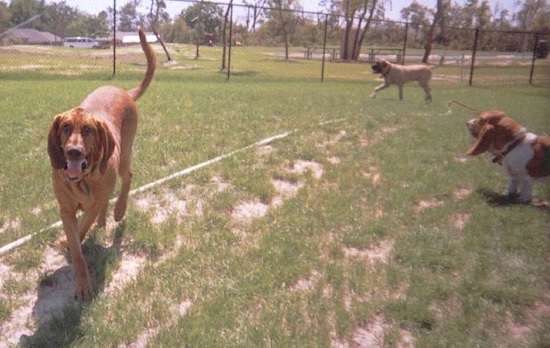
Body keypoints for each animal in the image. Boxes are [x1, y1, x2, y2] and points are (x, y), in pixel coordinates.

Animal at [47, 29, 157, 300]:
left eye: (87, 130)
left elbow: (84, 223)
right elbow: (77, 249)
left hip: (125, 153)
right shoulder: (65, 210)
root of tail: (125, 92)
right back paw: (104, 219)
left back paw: (118, 210)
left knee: (127, 178)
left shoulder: (92, 202)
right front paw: (82, 281)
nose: (73, 152)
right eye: (65, 127)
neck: (84, 179)